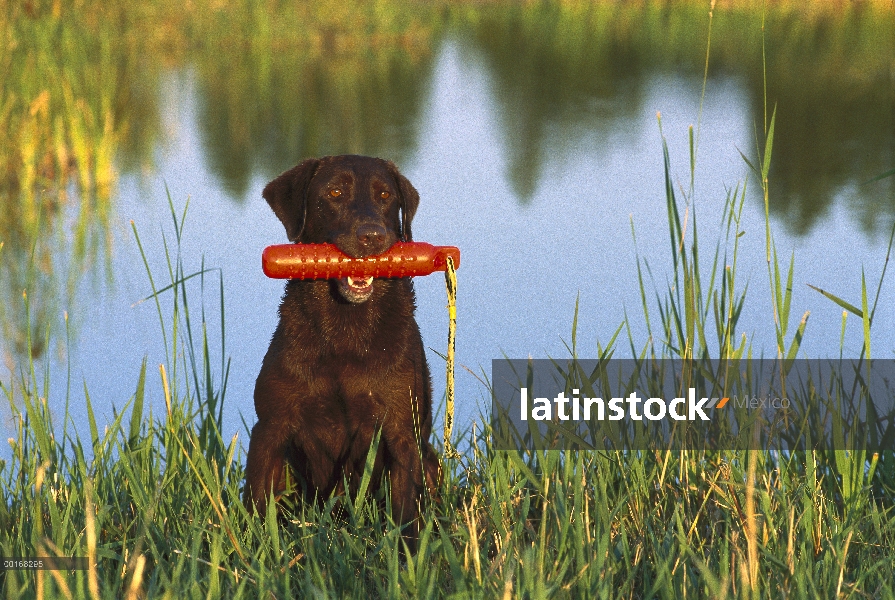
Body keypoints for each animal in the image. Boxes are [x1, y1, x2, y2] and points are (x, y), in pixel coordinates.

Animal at [245, 154, 440, 544]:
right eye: (335, 192)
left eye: (385, 196)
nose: (373, 236)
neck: (345, 331)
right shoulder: (270, 427)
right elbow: (258, 504)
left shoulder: (401, 432)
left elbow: (406, 513)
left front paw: (409, 554)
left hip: (430, 461)